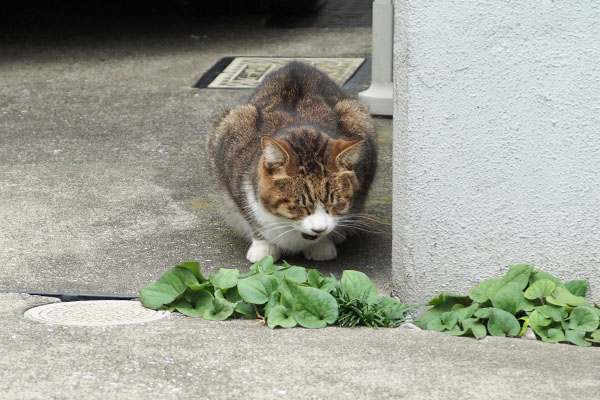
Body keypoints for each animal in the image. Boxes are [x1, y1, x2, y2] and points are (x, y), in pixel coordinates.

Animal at [206, 61, 376, 264]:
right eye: (300, 206)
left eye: (335, 204)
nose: (319, 229)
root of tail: (295, 64)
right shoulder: (230, 159)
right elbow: (251, 216)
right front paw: (263, 245)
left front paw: (323, 244)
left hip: (356, 113)